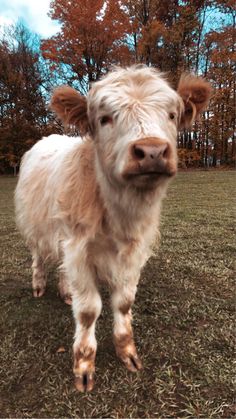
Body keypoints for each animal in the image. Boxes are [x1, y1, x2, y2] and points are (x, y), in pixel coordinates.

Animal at [14, 64, 210, 392]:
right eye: (105, 118)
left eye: (171, 115)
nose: (152, 151)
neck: (121, 215)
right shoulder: (79, 249)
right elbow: (89, 309)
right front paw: (83, 365)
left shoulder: (132, 252)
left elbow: (124, 302)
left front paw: (127, 351)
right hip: (37, 227)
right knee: (39, 257)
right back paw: (39, 286)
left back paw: (66, 292)